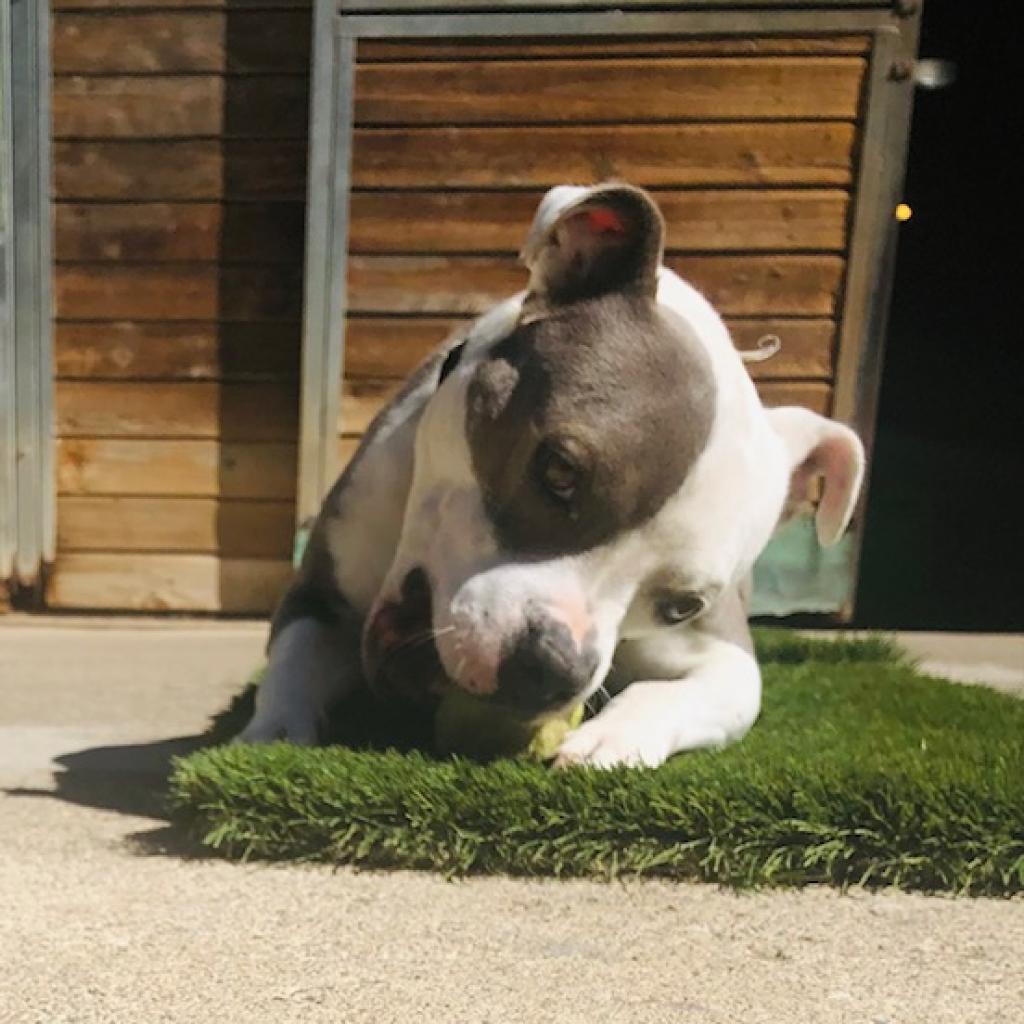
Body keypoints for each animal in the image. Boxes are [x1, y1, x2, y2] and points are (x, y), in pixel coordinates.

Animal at [239, 182, 864, 770]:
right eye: (559, 470)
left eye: (682, 606)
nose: (550, 669)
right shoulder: (320, 594)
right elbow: (293, 661)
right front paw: (272, 732)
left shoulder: (725, 654)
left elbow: (692, 691)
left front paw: (615, 738)